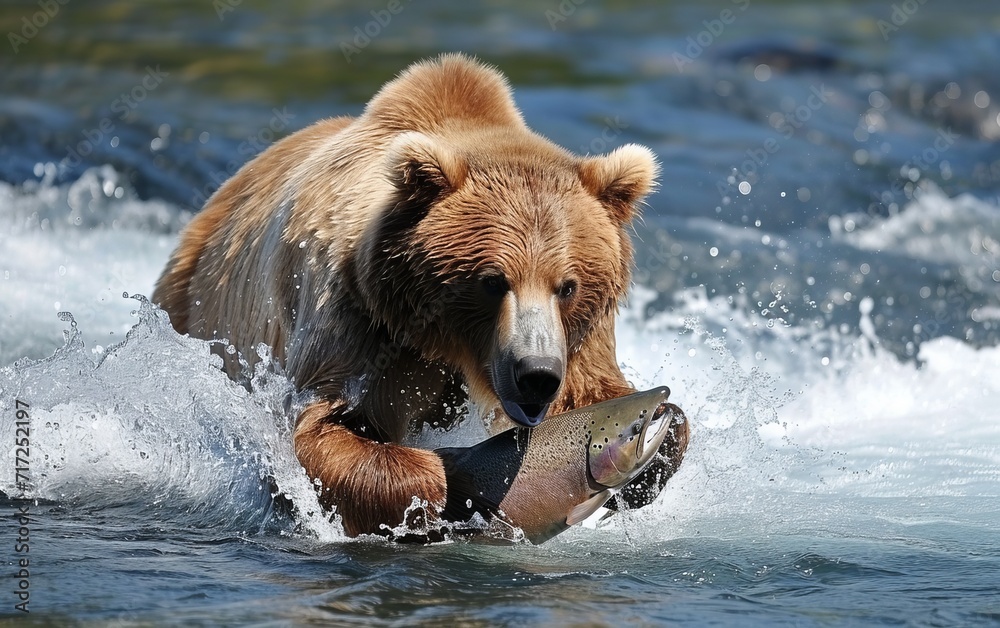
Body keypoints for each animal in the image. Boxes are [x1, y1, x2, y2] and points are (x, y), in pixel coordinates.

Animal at [153, 53, 688, 538]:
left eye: (568, 285)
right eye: (493, 280)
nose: (536, 374)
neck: (448, 342)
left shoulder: (580, 336)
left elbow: (597, 389)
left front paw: (661, 433)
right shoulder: (361, 321)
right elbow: (328, 428)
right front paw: (464, 482)